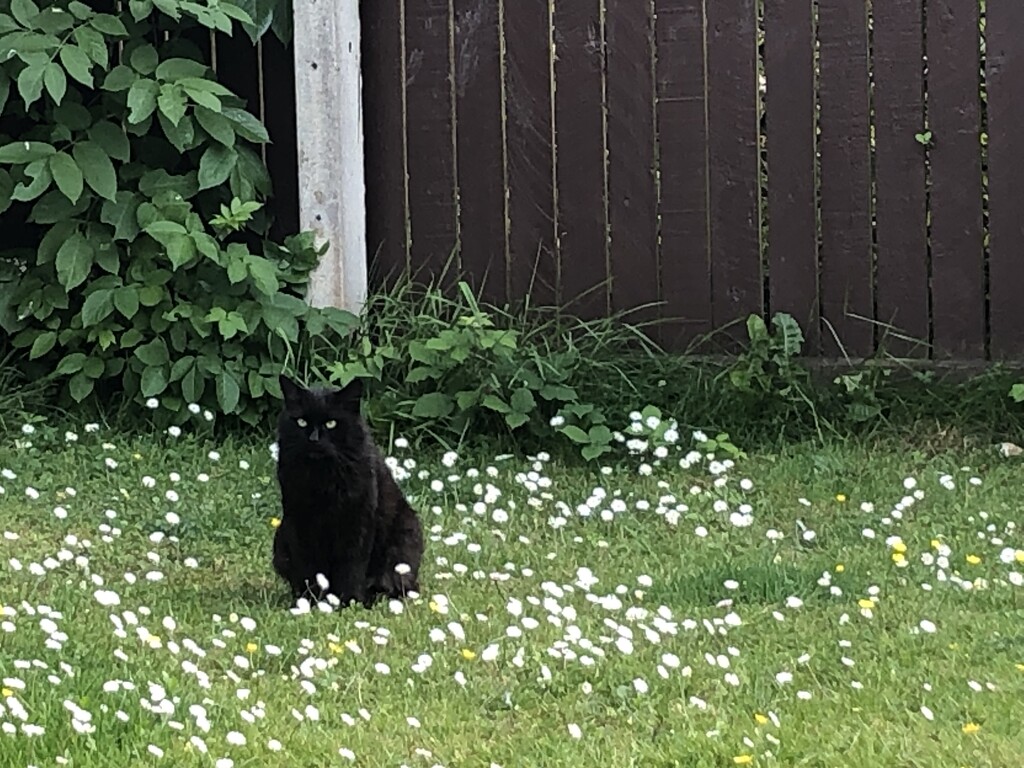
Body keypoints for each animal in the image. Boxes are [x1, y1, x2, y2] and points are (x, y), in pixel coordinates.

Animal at [270, 376, 421, 610]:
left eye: (331, 423)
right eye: (301, 422)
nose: (314, 439)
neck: (321, 479)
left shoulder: (357, 522)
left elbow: (351, 566)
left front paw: (349, 601)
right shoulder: (299, 522)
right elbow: (309, 568)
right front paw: (310, 601)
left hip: (404, 540)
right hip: (281, 541)